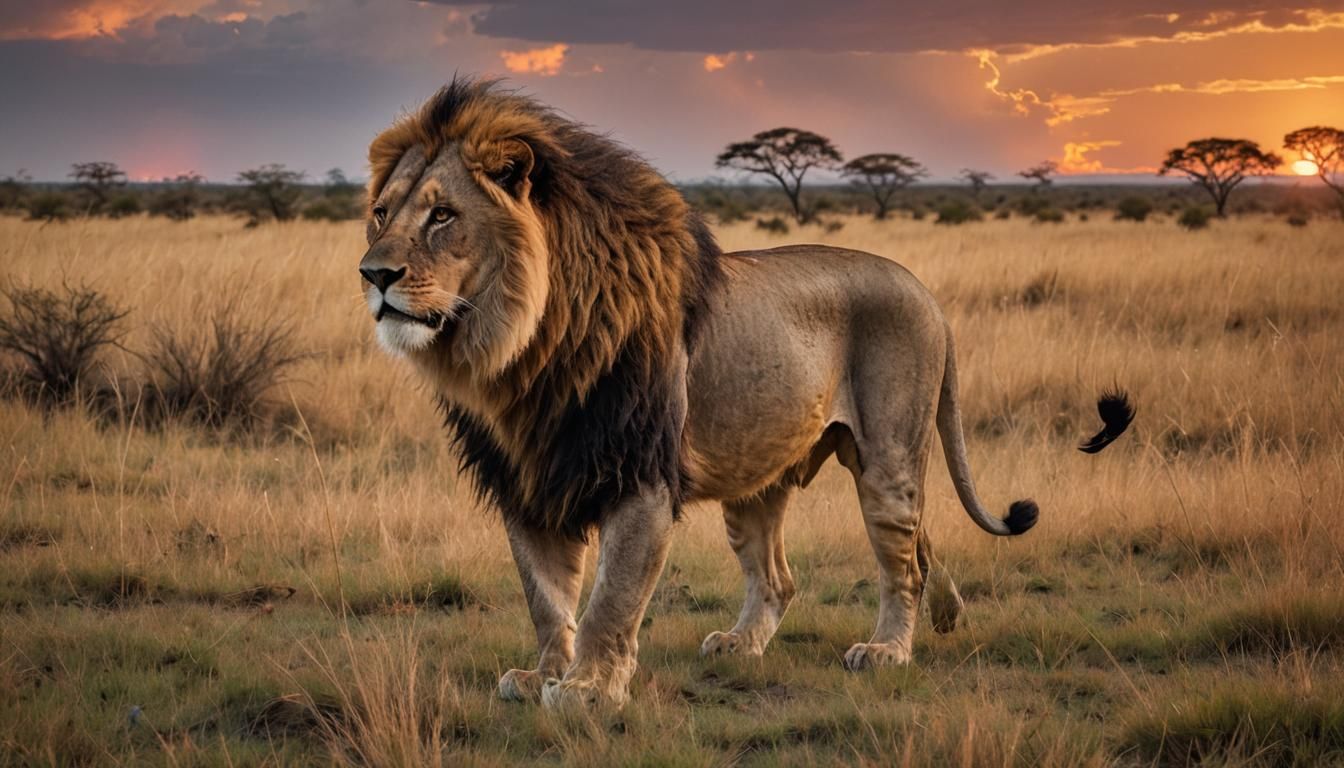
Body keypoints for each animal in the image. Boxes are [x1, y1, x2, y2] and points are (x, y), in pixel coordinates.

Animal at [358, 78, 1038, 710]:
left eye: (443, 215)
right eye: (382, 214)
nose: (373, 274)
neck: (524, 351)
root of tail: (925, 292)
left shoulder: (639, 475)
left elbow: (612, 596)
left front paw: (587, 690)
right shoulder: (529, 481)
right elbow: (546, 598)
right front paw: (543, 677)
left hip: (888, 461)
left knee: (904, 564)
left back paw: (887, 651)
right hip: (755, 474)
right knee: (780, 579)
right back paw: (743, 644)